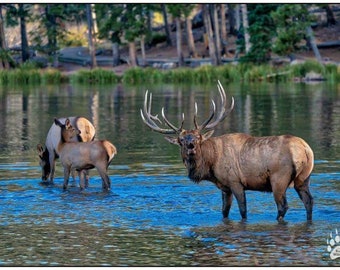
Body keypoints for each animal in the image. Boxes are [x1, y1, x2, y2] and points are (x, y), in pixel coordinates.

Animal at [140, 81, 314, 223]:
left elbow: (243, 211)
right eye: (181, 140)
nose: (190, 145)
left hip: (279, 178)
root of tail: (305, 149)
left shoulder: (235, 181)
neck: (211, 164)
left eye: (198, 137)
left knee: (283, 206)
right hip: (303, 178)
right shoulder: (225, 187)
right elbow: (224, 212)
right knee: (309, 202)